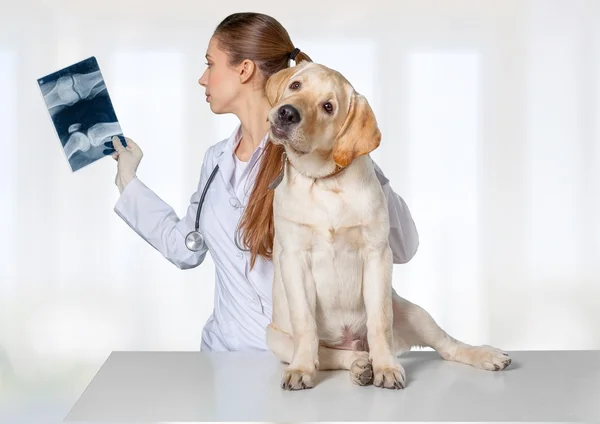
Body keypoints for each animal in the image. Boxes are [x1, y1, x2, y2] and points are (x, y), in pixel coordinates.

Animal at [264, 60, 510, 390]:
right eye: (295, 86)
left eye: (328, 107)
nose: (287, 113)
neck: (326, 181)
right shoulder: (294, 258)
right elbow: (305, 325)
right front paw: (301, 369)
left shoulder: (377, 254)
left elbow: (379, 321)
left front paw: (386, 368)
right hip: (276, 338)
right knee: (328, 353)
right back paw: (358, 364)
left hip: (414, 312)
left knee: (447, 346)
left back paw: (483, 355)